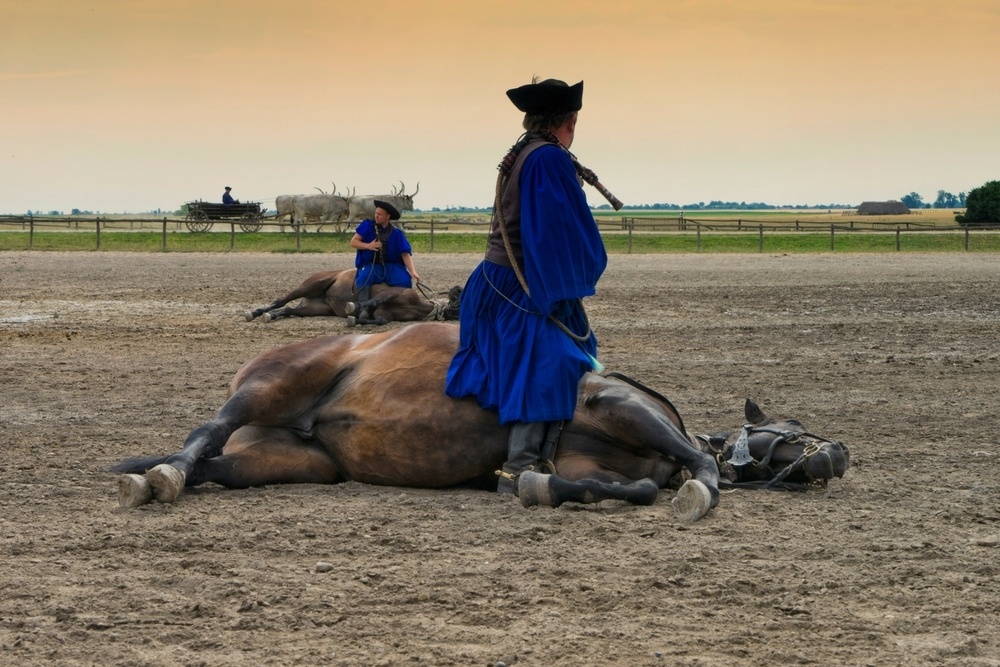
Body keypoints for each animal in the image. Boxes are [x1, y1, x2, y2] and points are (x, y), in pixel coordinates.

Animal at [117, 324, 852, 520]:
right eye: (791, 425)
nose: (840, 450)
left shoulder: (586, 463)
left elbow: (630, 487)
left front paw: (532, 485)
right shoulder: (620, 404)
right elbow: (697, 468)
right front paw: (702, 487)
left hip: (296, 459)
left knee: (218, 464)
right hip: (271, 388)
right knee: (200, 439)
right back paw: (159, 476)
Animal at [244, 268, 462, 326]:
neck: (417, 305)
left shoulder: (384, 315)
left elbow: (378, 320)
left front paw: (356, 318)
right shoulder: (392, 293)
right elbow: (374, 300)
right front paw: (354, 309)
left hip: (315, 308)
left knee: (289, 309)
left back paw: (272, 316)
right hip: (311, 286)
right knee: (280, 301)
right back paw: (255, 313)